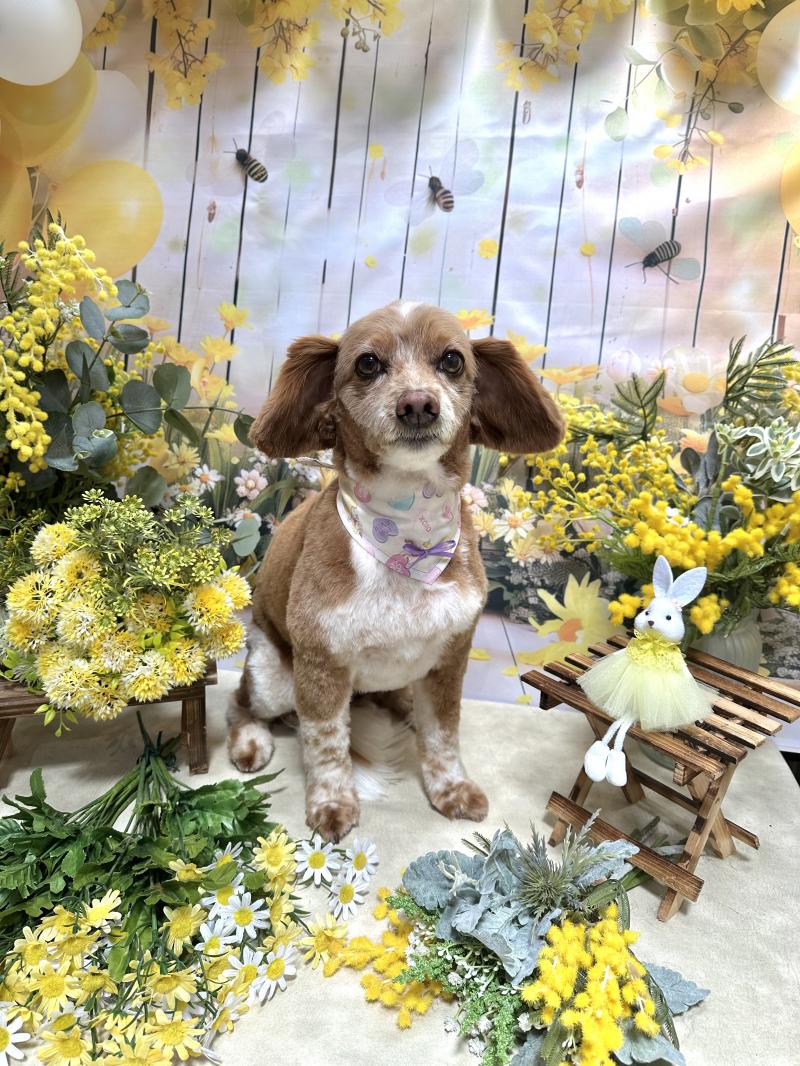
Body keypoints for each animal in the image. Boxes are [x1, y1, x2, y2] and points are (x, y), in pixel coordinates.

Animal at [227, 301, 564, 841]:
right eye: (367, 364)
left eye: (452, 361)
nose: (418, 404)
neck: (406, 533)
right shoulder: (320, 663)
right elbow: (325, 743)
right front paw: (331, 803)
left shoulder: (450, 657)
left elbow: (443, 735)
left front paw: (450, 788)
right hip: (271, 675)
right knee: (240, 702)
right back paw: (251, 741)